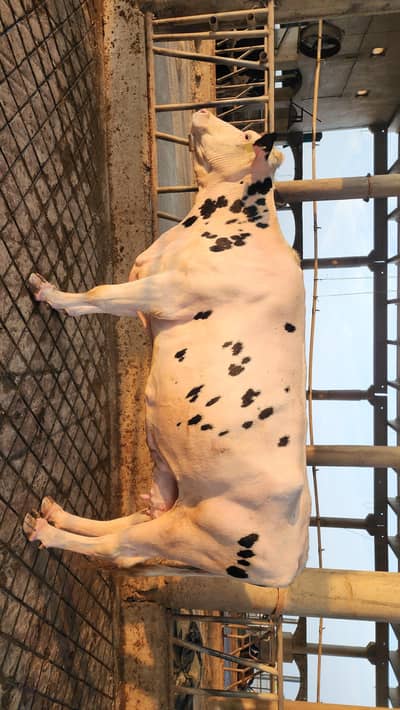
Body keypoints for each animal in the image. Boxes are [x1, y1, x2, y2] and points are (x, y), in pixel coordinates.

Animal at [23, 109, 310, 588]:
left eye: (245, 133)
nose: (205, 110)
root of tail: (294, 564)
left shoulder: (168, 292)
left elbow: (101, 293)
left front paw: (53, 297)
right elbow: (106, 295)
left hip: (191, 534)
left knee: (119, 546)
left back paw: (47, 531)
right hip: (176, 499)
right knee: (128, 525)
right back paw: (57, 513)